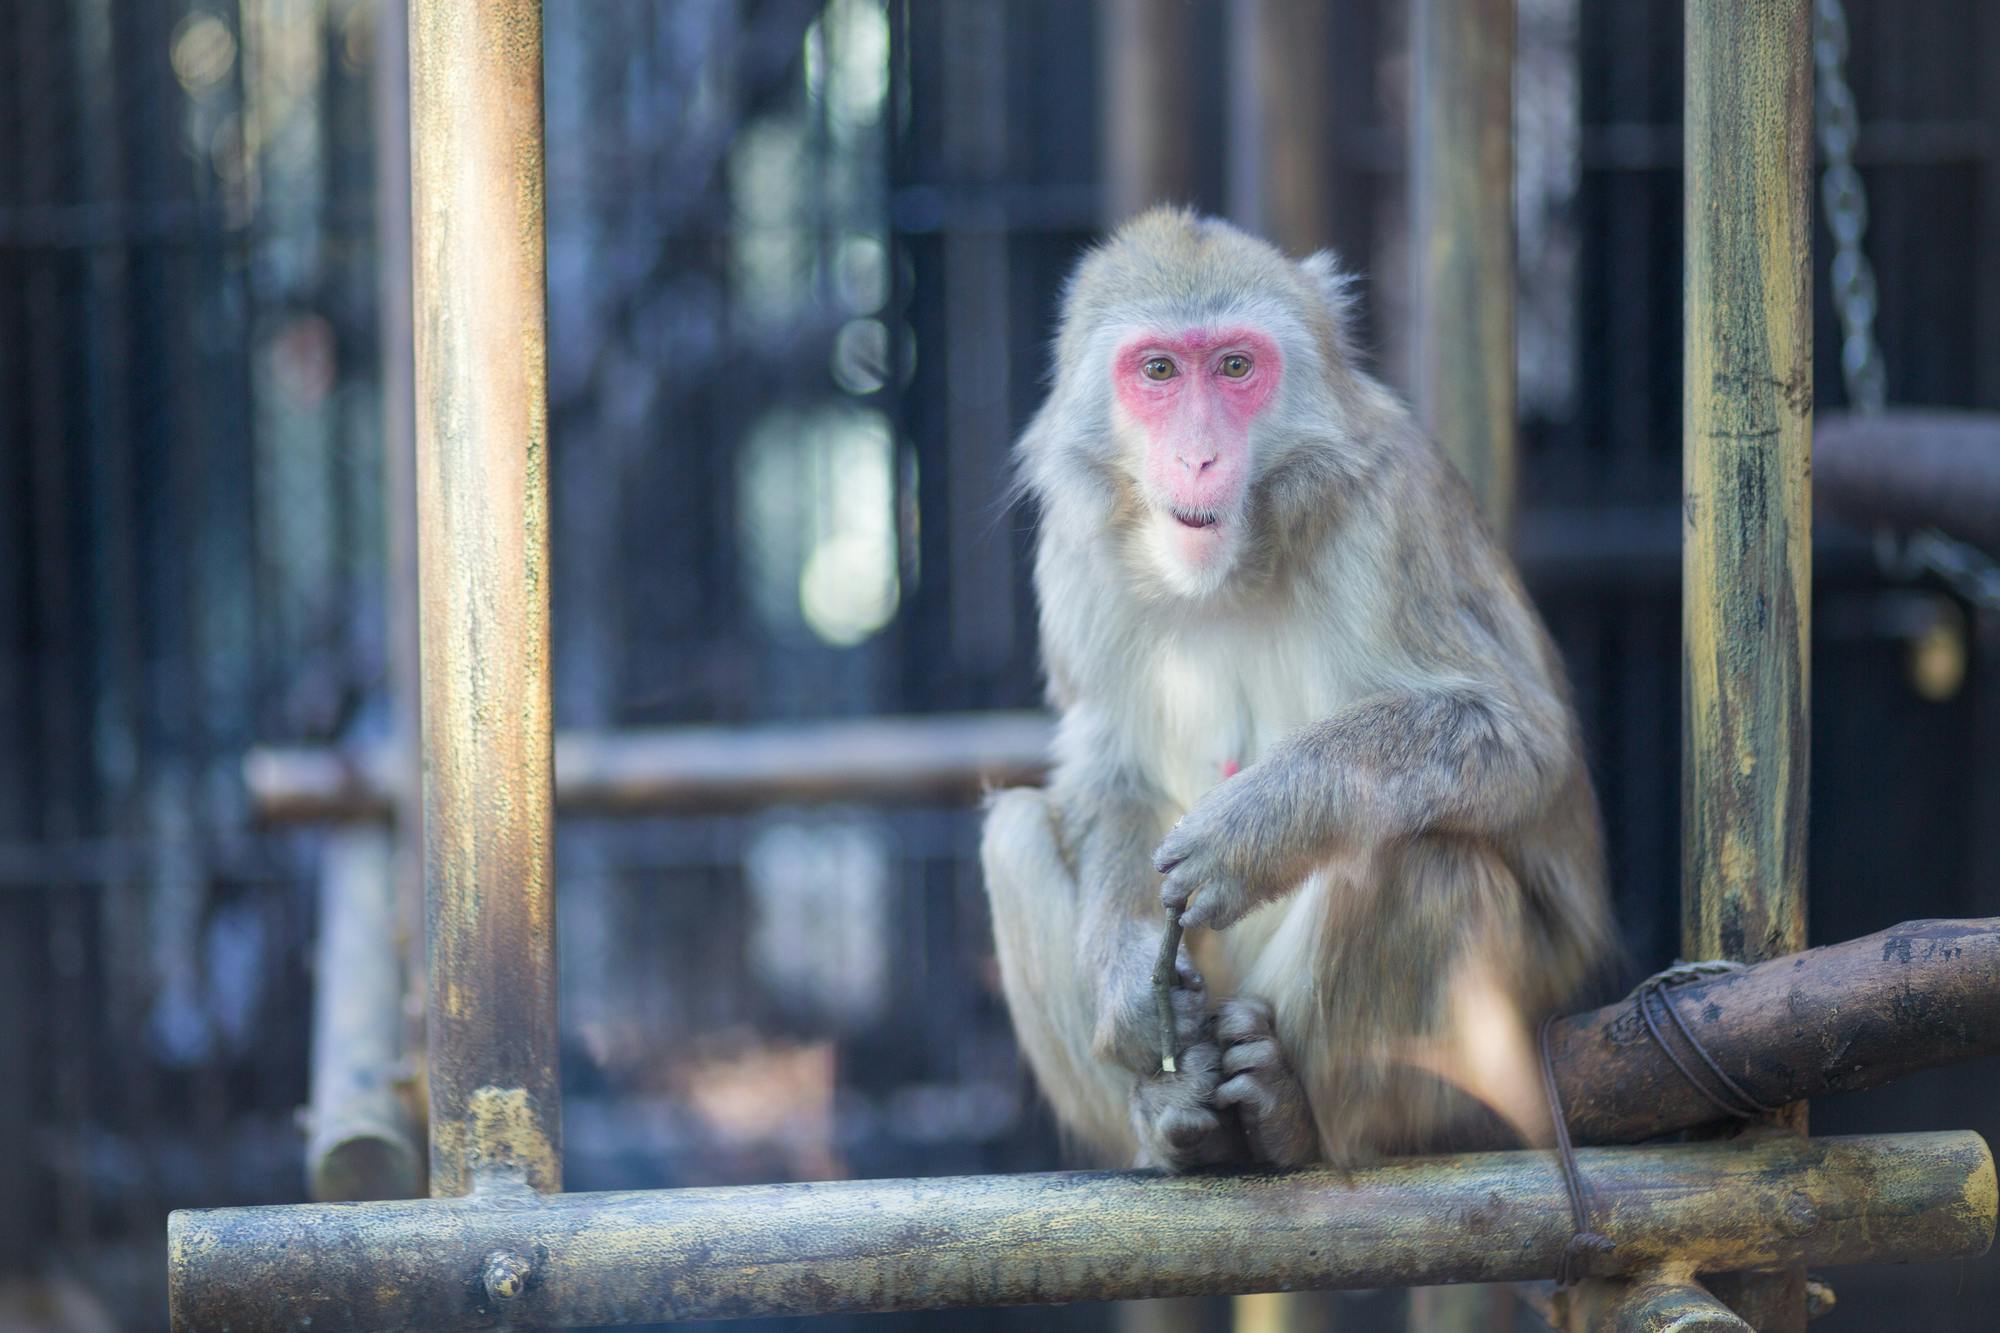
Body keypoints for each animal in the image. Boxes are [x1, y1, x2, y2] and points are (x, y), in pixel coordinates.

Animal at [980, 208, 1610, 1172]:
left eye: (1236, 368)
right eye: (1159, 371)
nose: (1199, 456)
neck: (1237, 564)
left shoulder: (1392, 514)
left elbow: (1520, 738)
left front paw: (1257, 825)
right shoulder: (1076, 555)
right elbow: (1108, 770)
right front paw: (1129, 977)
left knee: (1423, 863)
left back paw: (1291, 1117)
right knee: (1012, 834)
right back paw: (1174, 1123)